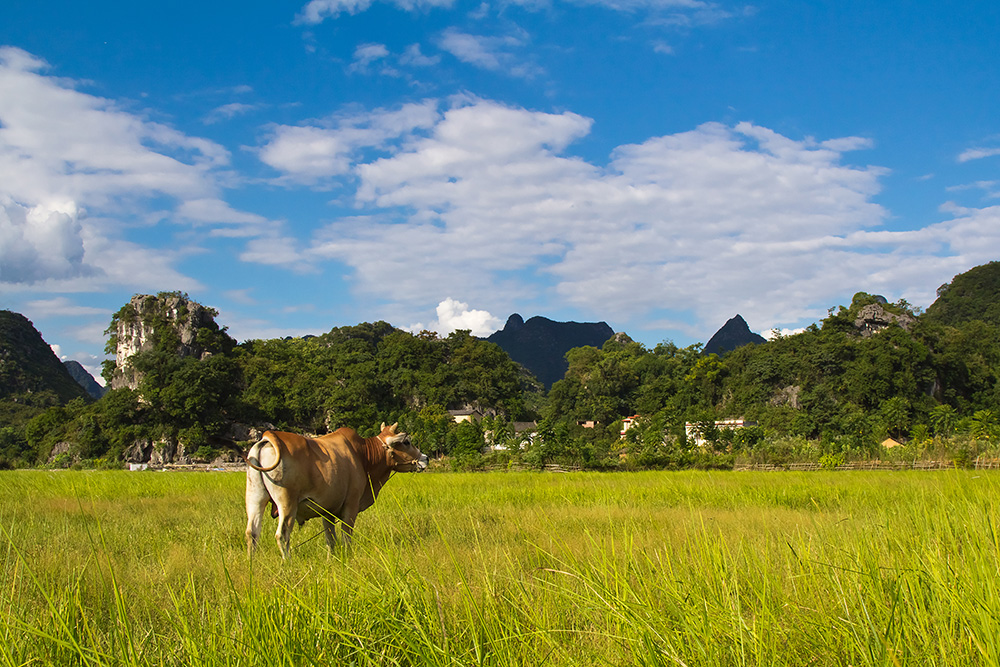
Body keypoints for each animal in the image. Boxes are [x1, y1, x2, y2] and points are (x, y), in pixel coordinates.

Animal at [246, 422, 430, 560]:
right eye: (406, 442)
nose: (426, 458)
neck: (363, 455)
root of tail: (270, 438)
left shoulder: (327, 511)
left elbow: (331, 539)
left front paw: (332, 560)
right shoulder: (351, 505)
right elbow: (346, 536)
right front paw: (348, 557)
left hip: (255, 498)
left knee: (252, 532)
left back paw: (252, 564)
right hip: (287, 503)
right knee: (282, 534)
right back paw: (288, 562)